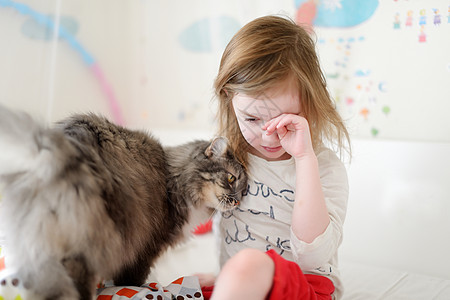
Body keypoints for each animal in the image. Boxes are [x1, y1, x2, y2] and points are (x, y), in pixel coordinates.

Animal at [0, 104, 248, 298]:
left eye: (244, 190)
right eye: (231, 179)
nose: (237, 202)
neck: (173, 177)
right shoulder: (146, 247)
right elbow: (131, 279)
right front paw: (141, 287)